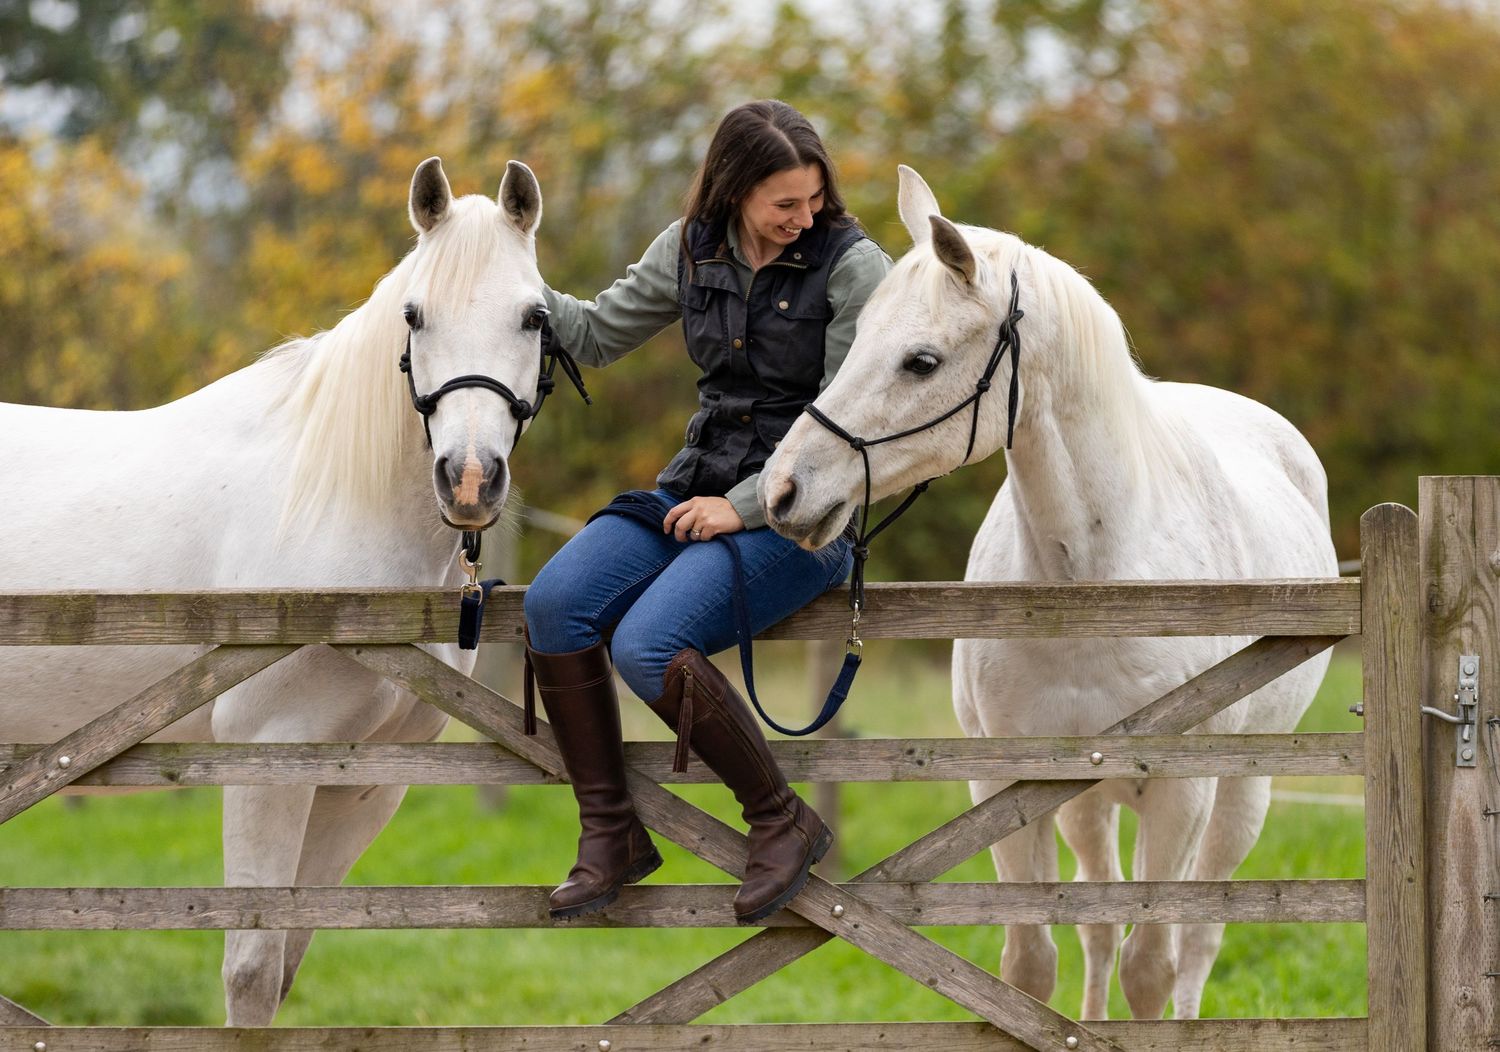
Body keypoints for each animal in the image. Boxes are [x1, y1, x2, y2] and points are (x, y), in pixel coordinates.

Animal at [0, 157, 555, 1025]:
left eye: (533, 317)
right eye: (415, 315)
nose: (469, 479)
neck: (335, 497)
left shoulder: (366, 778)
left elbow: (289, 961)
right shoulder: (270, 753)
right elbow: (253, 968)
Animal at [758, 165, 1335, 1020]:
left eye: (921, 361)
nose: (784, 490)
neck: (1092, 576)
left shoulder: (1183, 793)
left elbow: (1152, 968)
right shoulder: (1008, 785)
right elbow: (1032, 962)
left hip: (1241, 794)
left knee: (1197, 942)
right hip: (1088, 805)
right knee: (1097, 925)